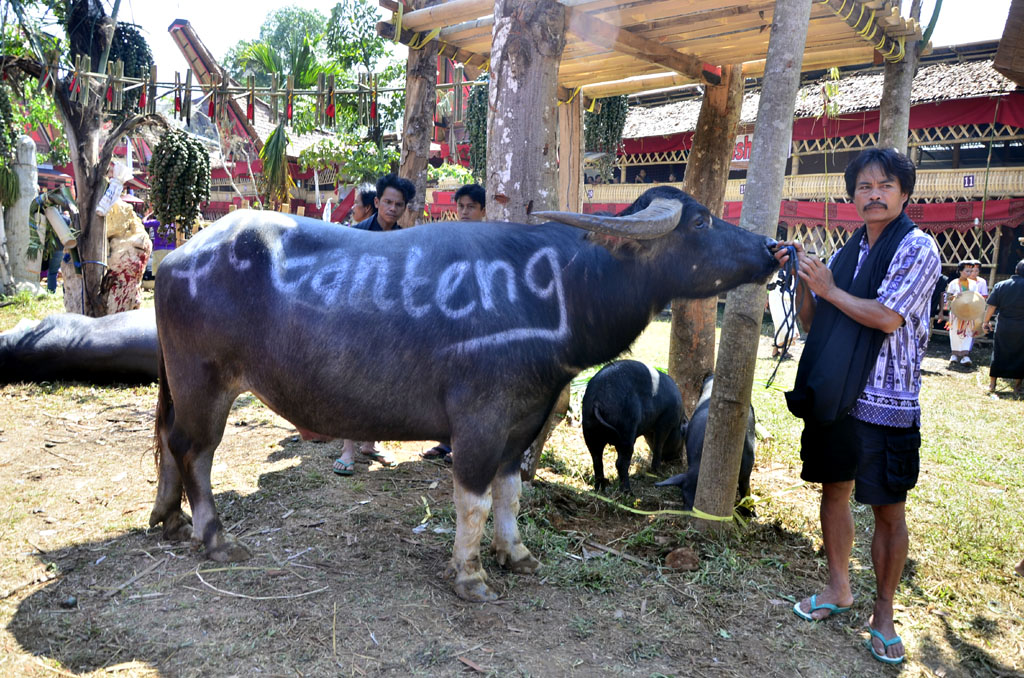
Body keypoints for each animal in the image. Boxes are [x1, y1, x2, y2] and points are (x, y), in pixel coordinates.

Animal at [585, 360, 688, 493]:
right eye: (683, 437)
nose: (678, 461)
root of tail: (597, 401)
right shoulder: (665, 421)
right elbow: (659, 445)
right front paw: (658, 472)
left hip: (589, 430)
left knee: (596, 460)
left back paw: (600, 489)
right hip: (626, 429)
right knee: (620, 463)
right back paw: (628, 492)